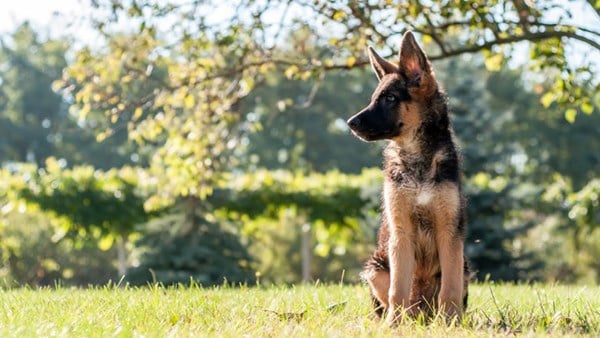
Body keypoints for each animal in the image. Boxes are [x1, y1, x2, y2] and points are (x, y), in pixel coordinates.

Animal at [346, 31, 468, 322]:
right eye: (374, 98)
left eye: (390, 98)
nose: (350, 123)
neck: (416, 159)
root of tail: (421, 308)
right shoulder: (401, 232)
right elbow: (397, 288)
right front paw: (393, 324)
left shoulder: (449, 232)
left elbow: (450, 287)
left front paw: (451, 322)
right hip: (376, 267)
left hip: (466, 266)